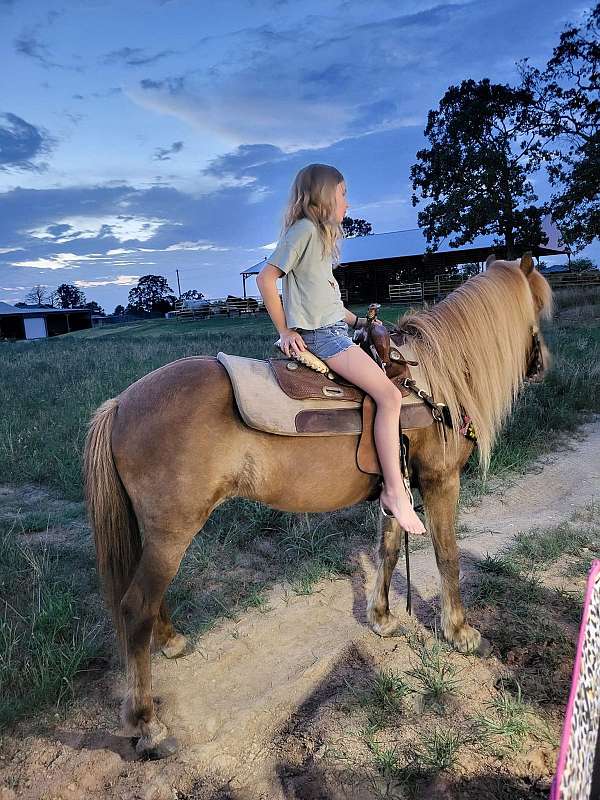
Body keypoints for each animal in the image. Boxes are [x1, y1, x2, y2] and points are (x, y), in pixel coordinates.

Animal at [84, 252, 552, 756]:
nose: (542, 364)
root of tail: (120, 404)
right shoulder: (440, 482)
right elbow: (449, 556)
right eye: (537, 310)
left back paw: (171, 644)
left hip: (158, 533)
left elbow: (389, 549)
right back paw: (148, 725)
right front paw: (461, 633)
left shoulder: (399, 488)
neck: (434, 379)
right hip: (173, 531)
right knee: (136, 608)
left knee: (151, 600)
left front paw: (382, 618)